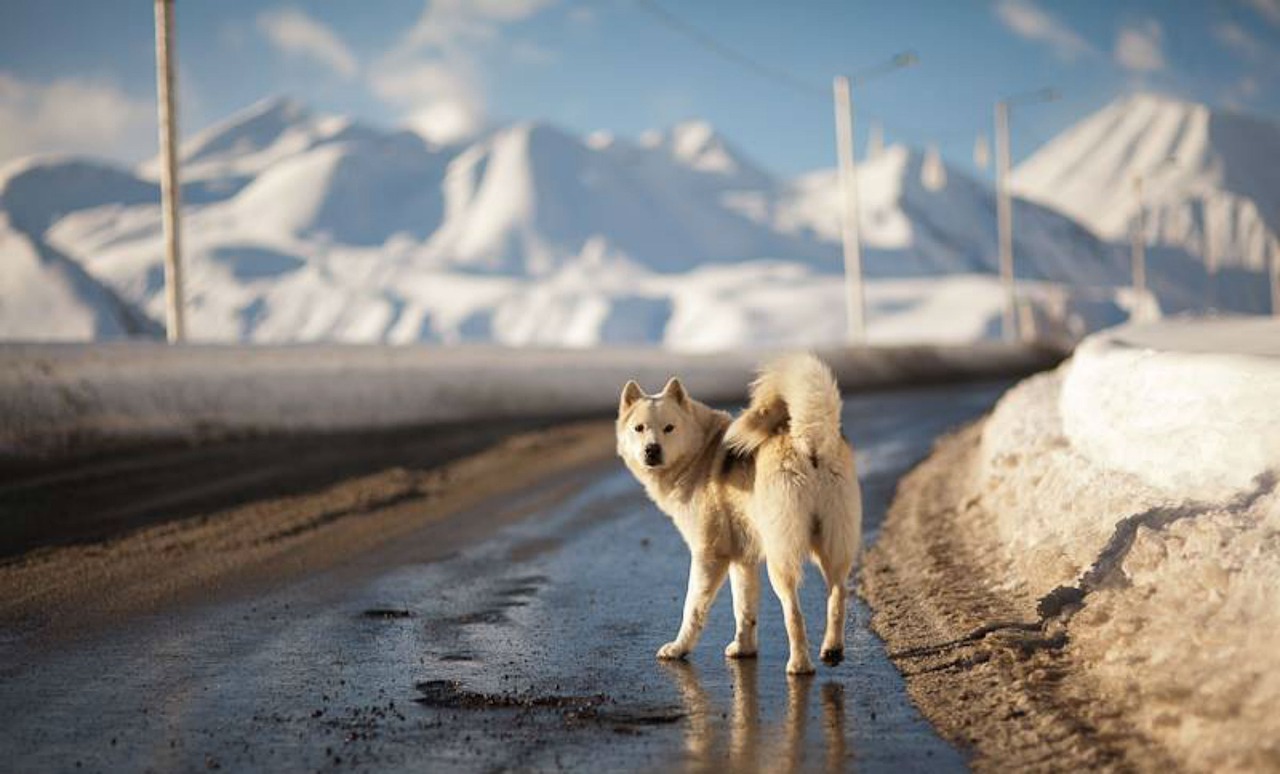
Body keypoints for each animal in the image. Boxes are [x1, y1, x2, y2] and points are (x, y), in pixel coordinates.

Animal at [616, 353, 865, 675]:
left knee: (794, 613)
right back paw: (832, 650)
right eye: (639, 428)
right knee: (838, 595)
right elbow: (744, 608)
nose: (652, 450)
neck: (699, 452)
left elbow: (693, 607)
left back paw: (799, 664)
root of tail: (808, 437)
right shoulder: (742, 558)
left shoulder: (709, 555)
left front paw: (678, 649)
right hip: (833, 543)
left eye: (669, 427)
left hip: (780, 556)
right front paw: (744, 649)